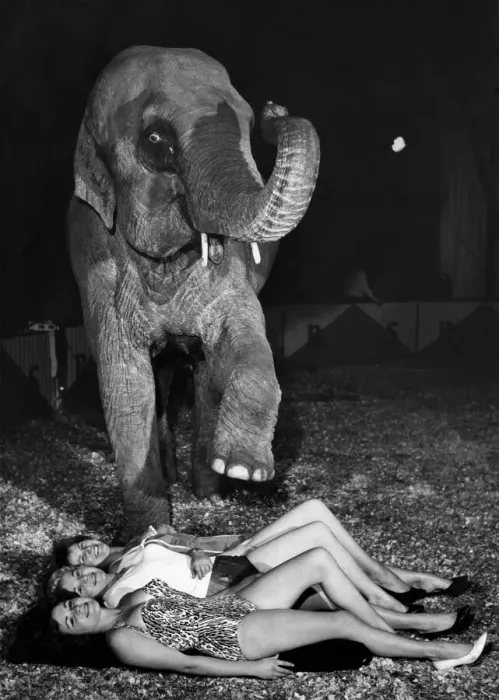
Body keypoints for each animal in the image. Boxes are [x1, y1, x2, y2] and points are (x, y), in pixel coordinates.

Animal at [68, 45, 320, 539]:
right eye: (155, 139)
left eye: (248, 122)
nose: (275, 110)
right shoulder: (98, 264)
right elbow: (125, 383)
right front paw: (148, 534)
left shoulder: (229, 277)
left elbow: (246, 338)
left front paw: (245, 470)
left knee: (205, 374)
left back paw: (209, 490)